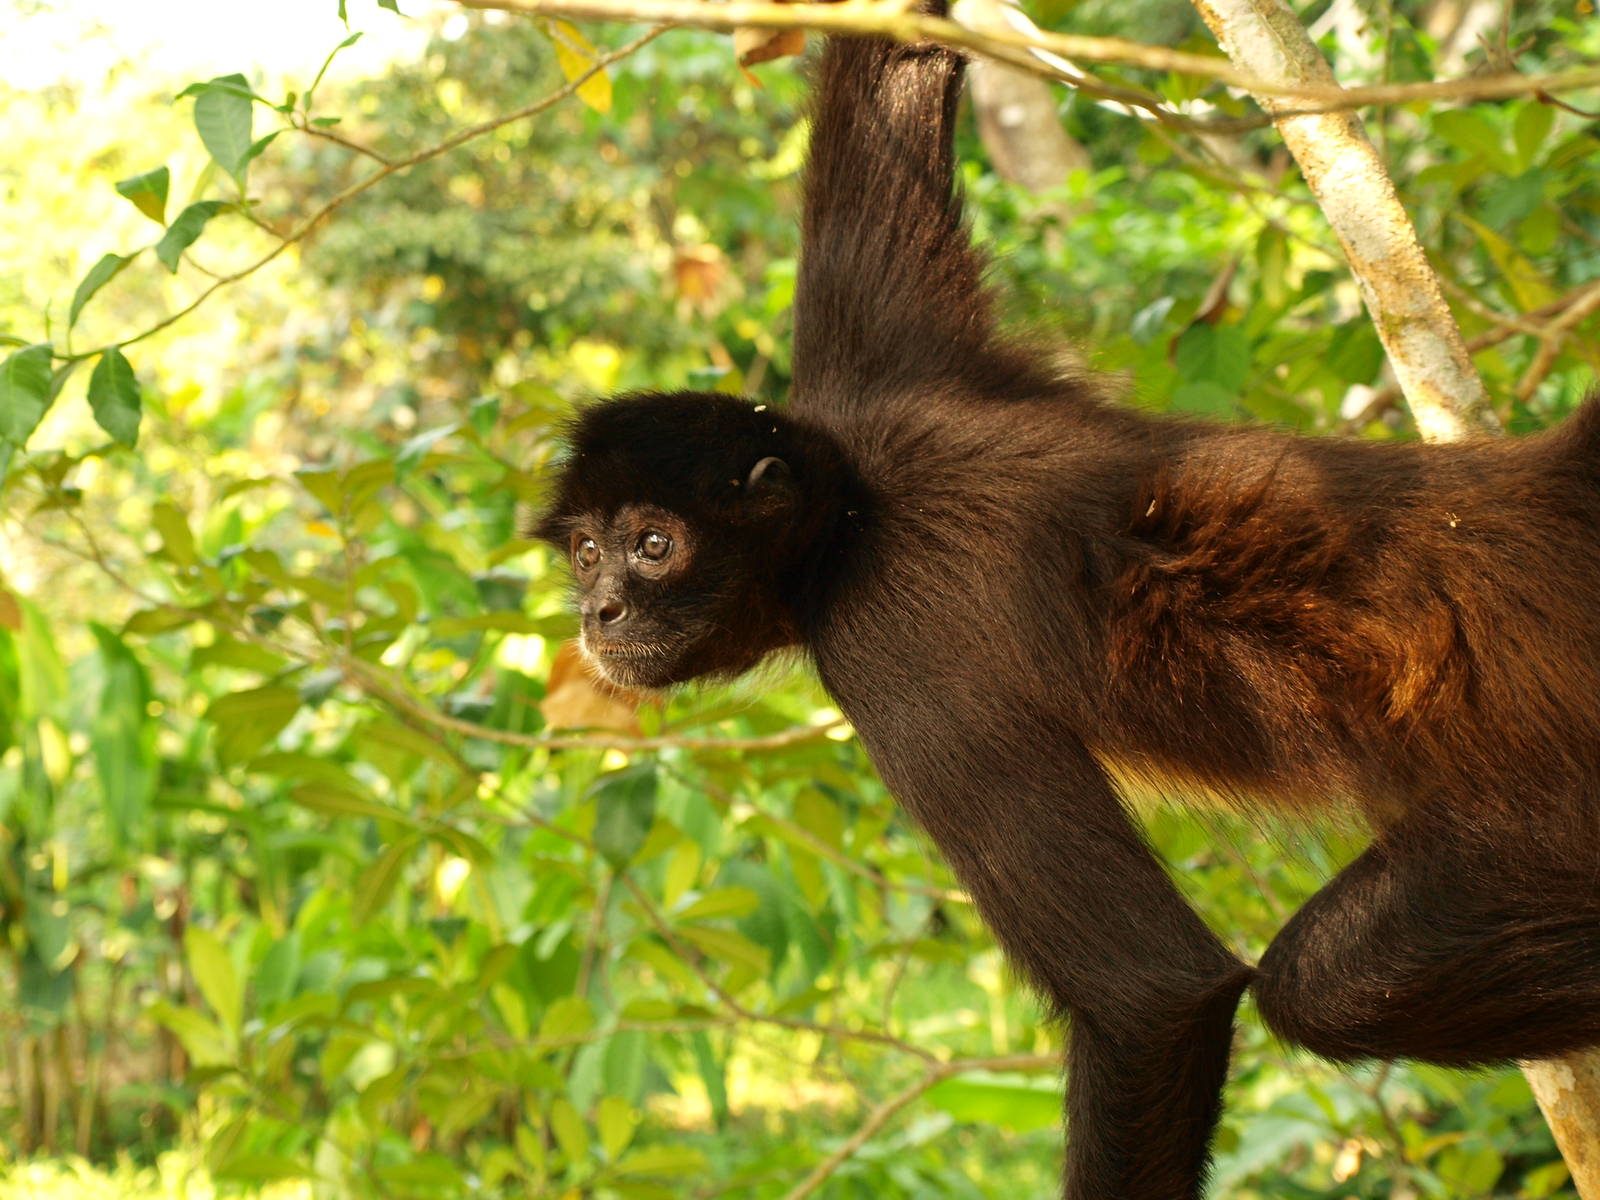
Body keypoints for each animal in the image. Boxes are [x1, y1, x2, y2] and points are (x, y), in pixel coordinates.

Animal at [532, 26, 1600, 1200]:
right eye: (585, 551)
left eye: (653, 545)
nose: (601, 611)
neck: (859, 514)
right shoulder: (886, 375)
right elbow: (894, 67)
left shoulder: (894, 652)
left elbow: (1153, 994)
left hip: (1545, 818)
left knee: (1318, 986)